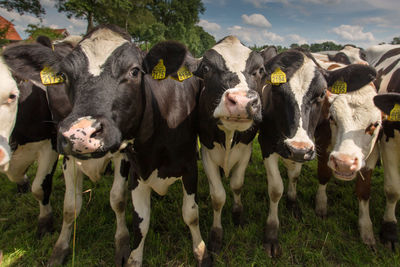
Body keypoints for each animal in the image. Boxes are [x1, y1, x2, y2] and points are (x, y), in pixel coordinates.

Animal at [43, 25, 211, 267]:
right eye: (64, 75)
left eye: (134, 71)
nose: (80, 134)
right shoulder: (136, 172)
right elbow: (139, 221)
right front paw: (133, 257)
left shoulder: (189, 169)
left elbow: (191, 214)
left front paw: (201, 251)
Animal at [256, 48, 378, 258]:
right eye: (276, 90)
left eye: (321, 94)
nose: (296, 148)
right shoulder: (266, 143)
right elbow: (276, 188)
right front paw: (271, 233)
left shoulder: (306, 147)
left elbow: (294, 175)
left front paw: (293, 203)